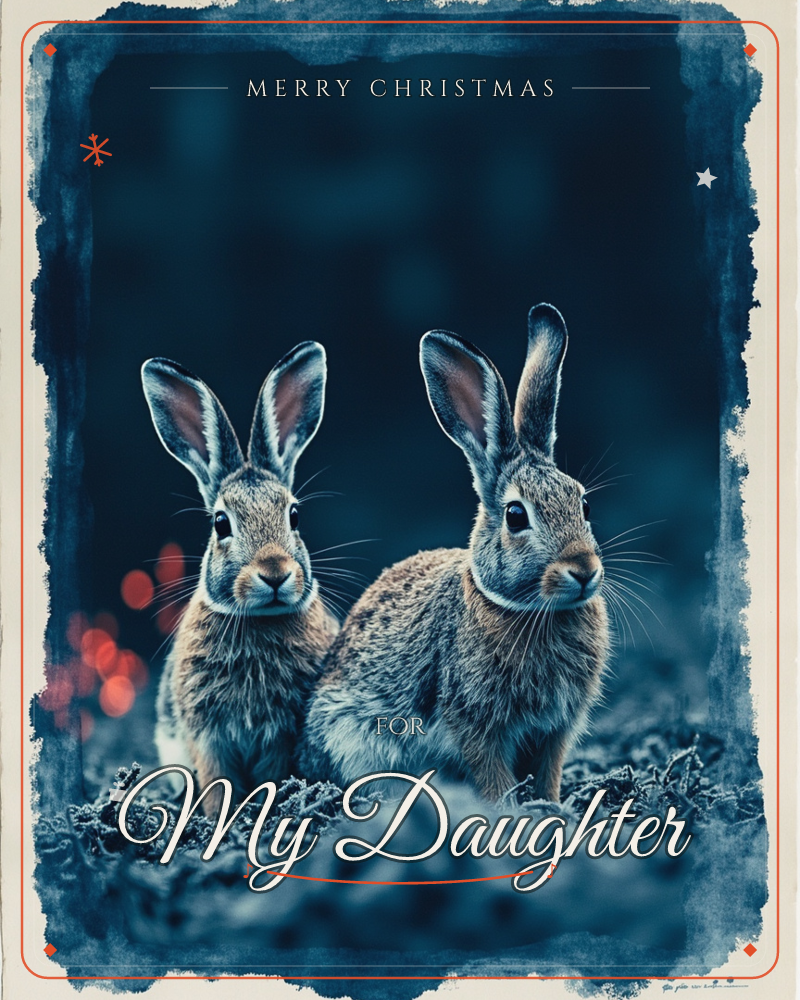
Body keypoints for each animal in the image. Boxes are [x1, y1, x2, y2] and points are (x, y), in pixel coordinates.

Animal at [141, 343, 339, 814]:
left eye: (294, 514)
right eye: (220, 523)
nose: (274, 574)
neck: (259, 623)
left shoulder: (280, 734)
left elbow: (270, 773)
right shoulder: (206, 733)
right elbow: (217, 778)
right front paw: (220, 818)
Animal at [299, 305, 609, 803]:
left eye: (583, 504)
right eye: (516, 516)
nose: (584, 571)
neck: (528, 609)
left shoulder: (556, 729)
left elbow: (549, 771)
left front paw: (554, 806)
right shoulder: (472, 721)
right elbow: (491, 772)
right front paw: (512, 810)